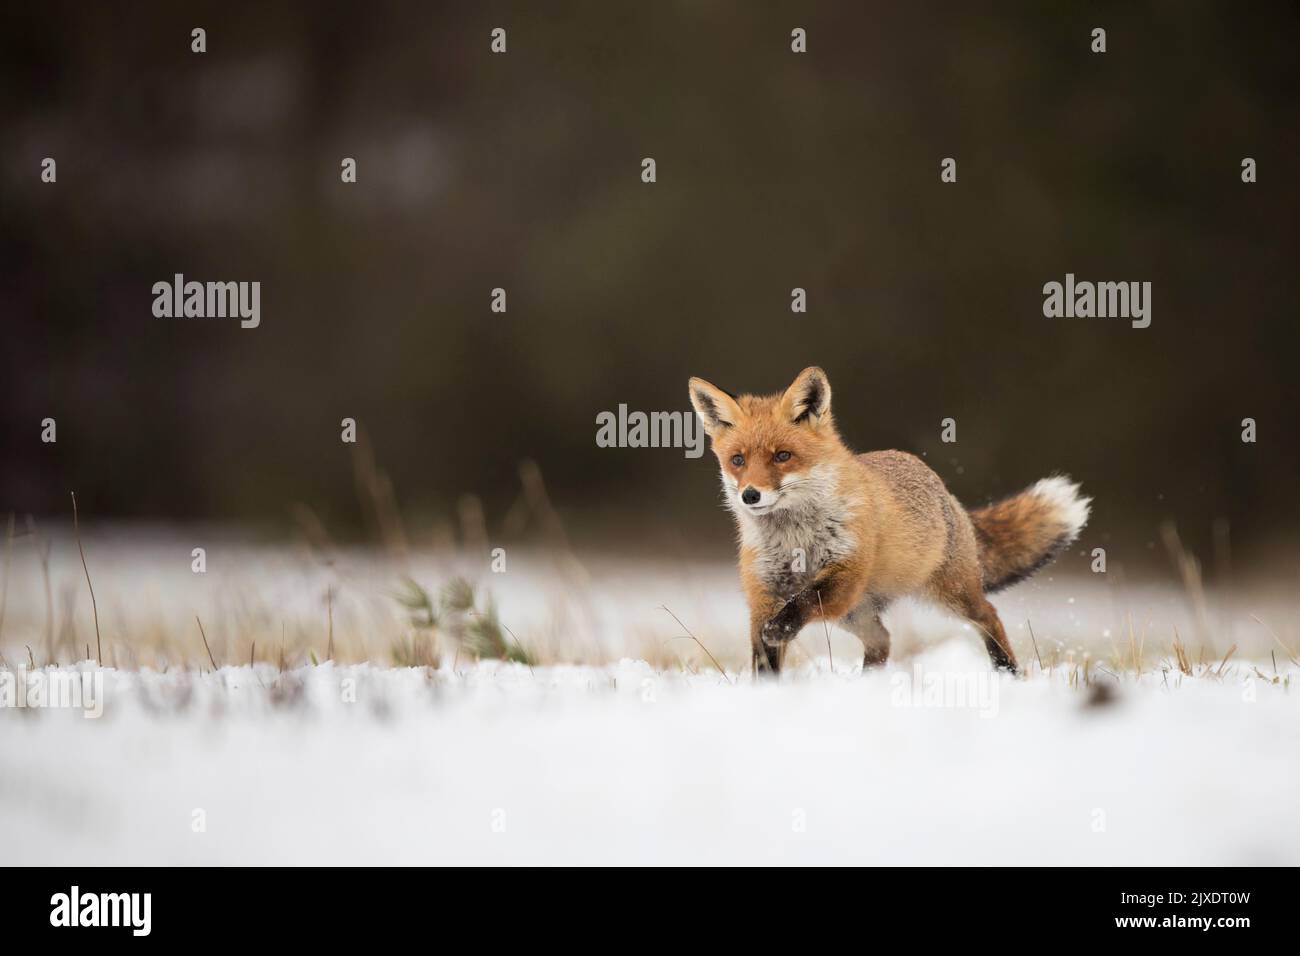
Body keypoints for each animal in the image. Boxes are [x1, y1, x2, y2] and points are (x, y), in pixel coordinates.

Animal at [687, 366, 1090, 676]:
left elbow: (801, 604)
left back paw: (1007, 669)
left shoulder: (843, 579)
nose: (750, 495)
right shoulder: (763, 593)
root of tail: (943, 489)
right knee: (882, 640)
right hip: (858, 614)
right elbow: (764, 660)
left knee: (988, 614)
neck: (794, 539)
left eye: (783, 456)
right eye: (738, 460)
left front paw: (781, 629)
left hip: (947, 593)